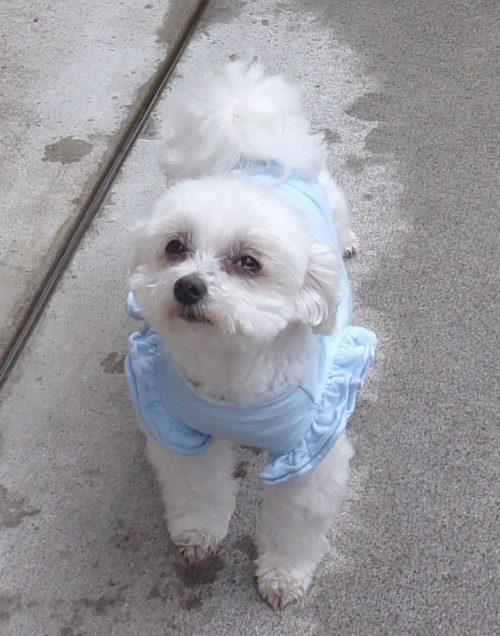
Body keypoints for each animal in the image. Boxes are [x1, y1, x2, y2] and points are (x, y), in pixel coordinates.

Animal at [125, 63, 376, 609]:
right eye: (175, 247)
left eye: (248, 263)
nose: (188, 285)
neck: (231, 370)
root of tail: (253, 154)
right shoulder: (181, 431)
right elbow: (198, 490)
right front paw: (199, 534)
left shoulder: (310, 456)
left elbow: (293, 525)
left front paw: (284, 574)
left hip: (335, 202)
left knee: (343, 219)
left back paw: (346, 241)